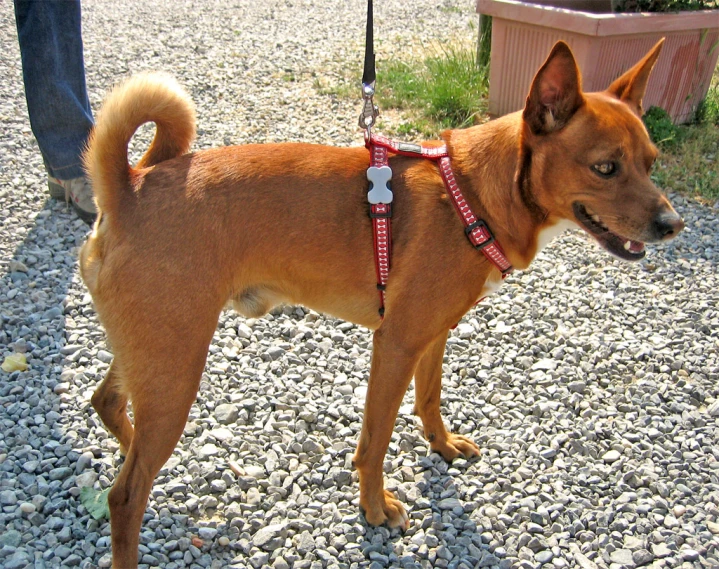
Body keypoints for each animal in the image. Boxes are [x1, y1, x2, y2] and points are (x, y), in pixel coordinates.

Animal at [80, 38, 688, 564]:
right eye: (605, 167)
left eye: (652, 161)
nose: (673, 225)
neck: (471, 195)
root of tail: (131, 188)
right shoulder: (395, 344)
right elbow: (374, 441)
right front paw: (375, 509)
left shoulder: (433, 334)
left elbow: (430, 398)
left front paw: (441, 445)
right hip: (177, 366)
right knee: (124, 495)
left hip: (154, 356)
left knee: (109, 405)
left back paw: (135, 452)